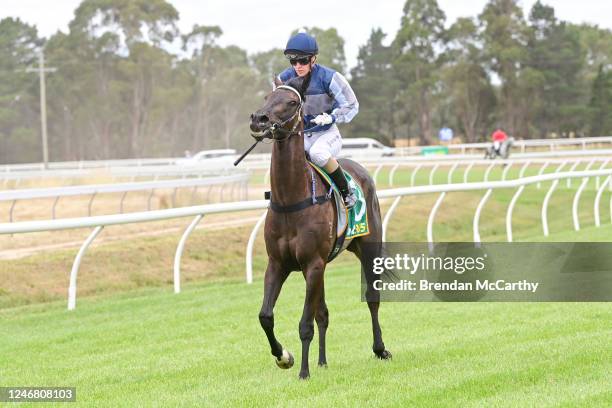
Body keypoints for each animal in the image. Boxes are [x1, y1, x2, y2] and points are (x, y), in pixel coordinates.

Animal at [249, 73, 392, 380]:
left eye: (292, 102)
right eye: (267, 97)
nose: (259, 119)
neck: (292, 198)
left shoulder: (313, 263)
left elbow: (305, 323)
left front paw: (303, 371)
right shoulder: (280, 263)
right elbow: (266, 316)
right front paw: (284, 357)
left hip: (368, 249)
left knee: (372, 298)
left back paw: (380, 349)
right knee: (323, 313)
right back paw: (323, 361)